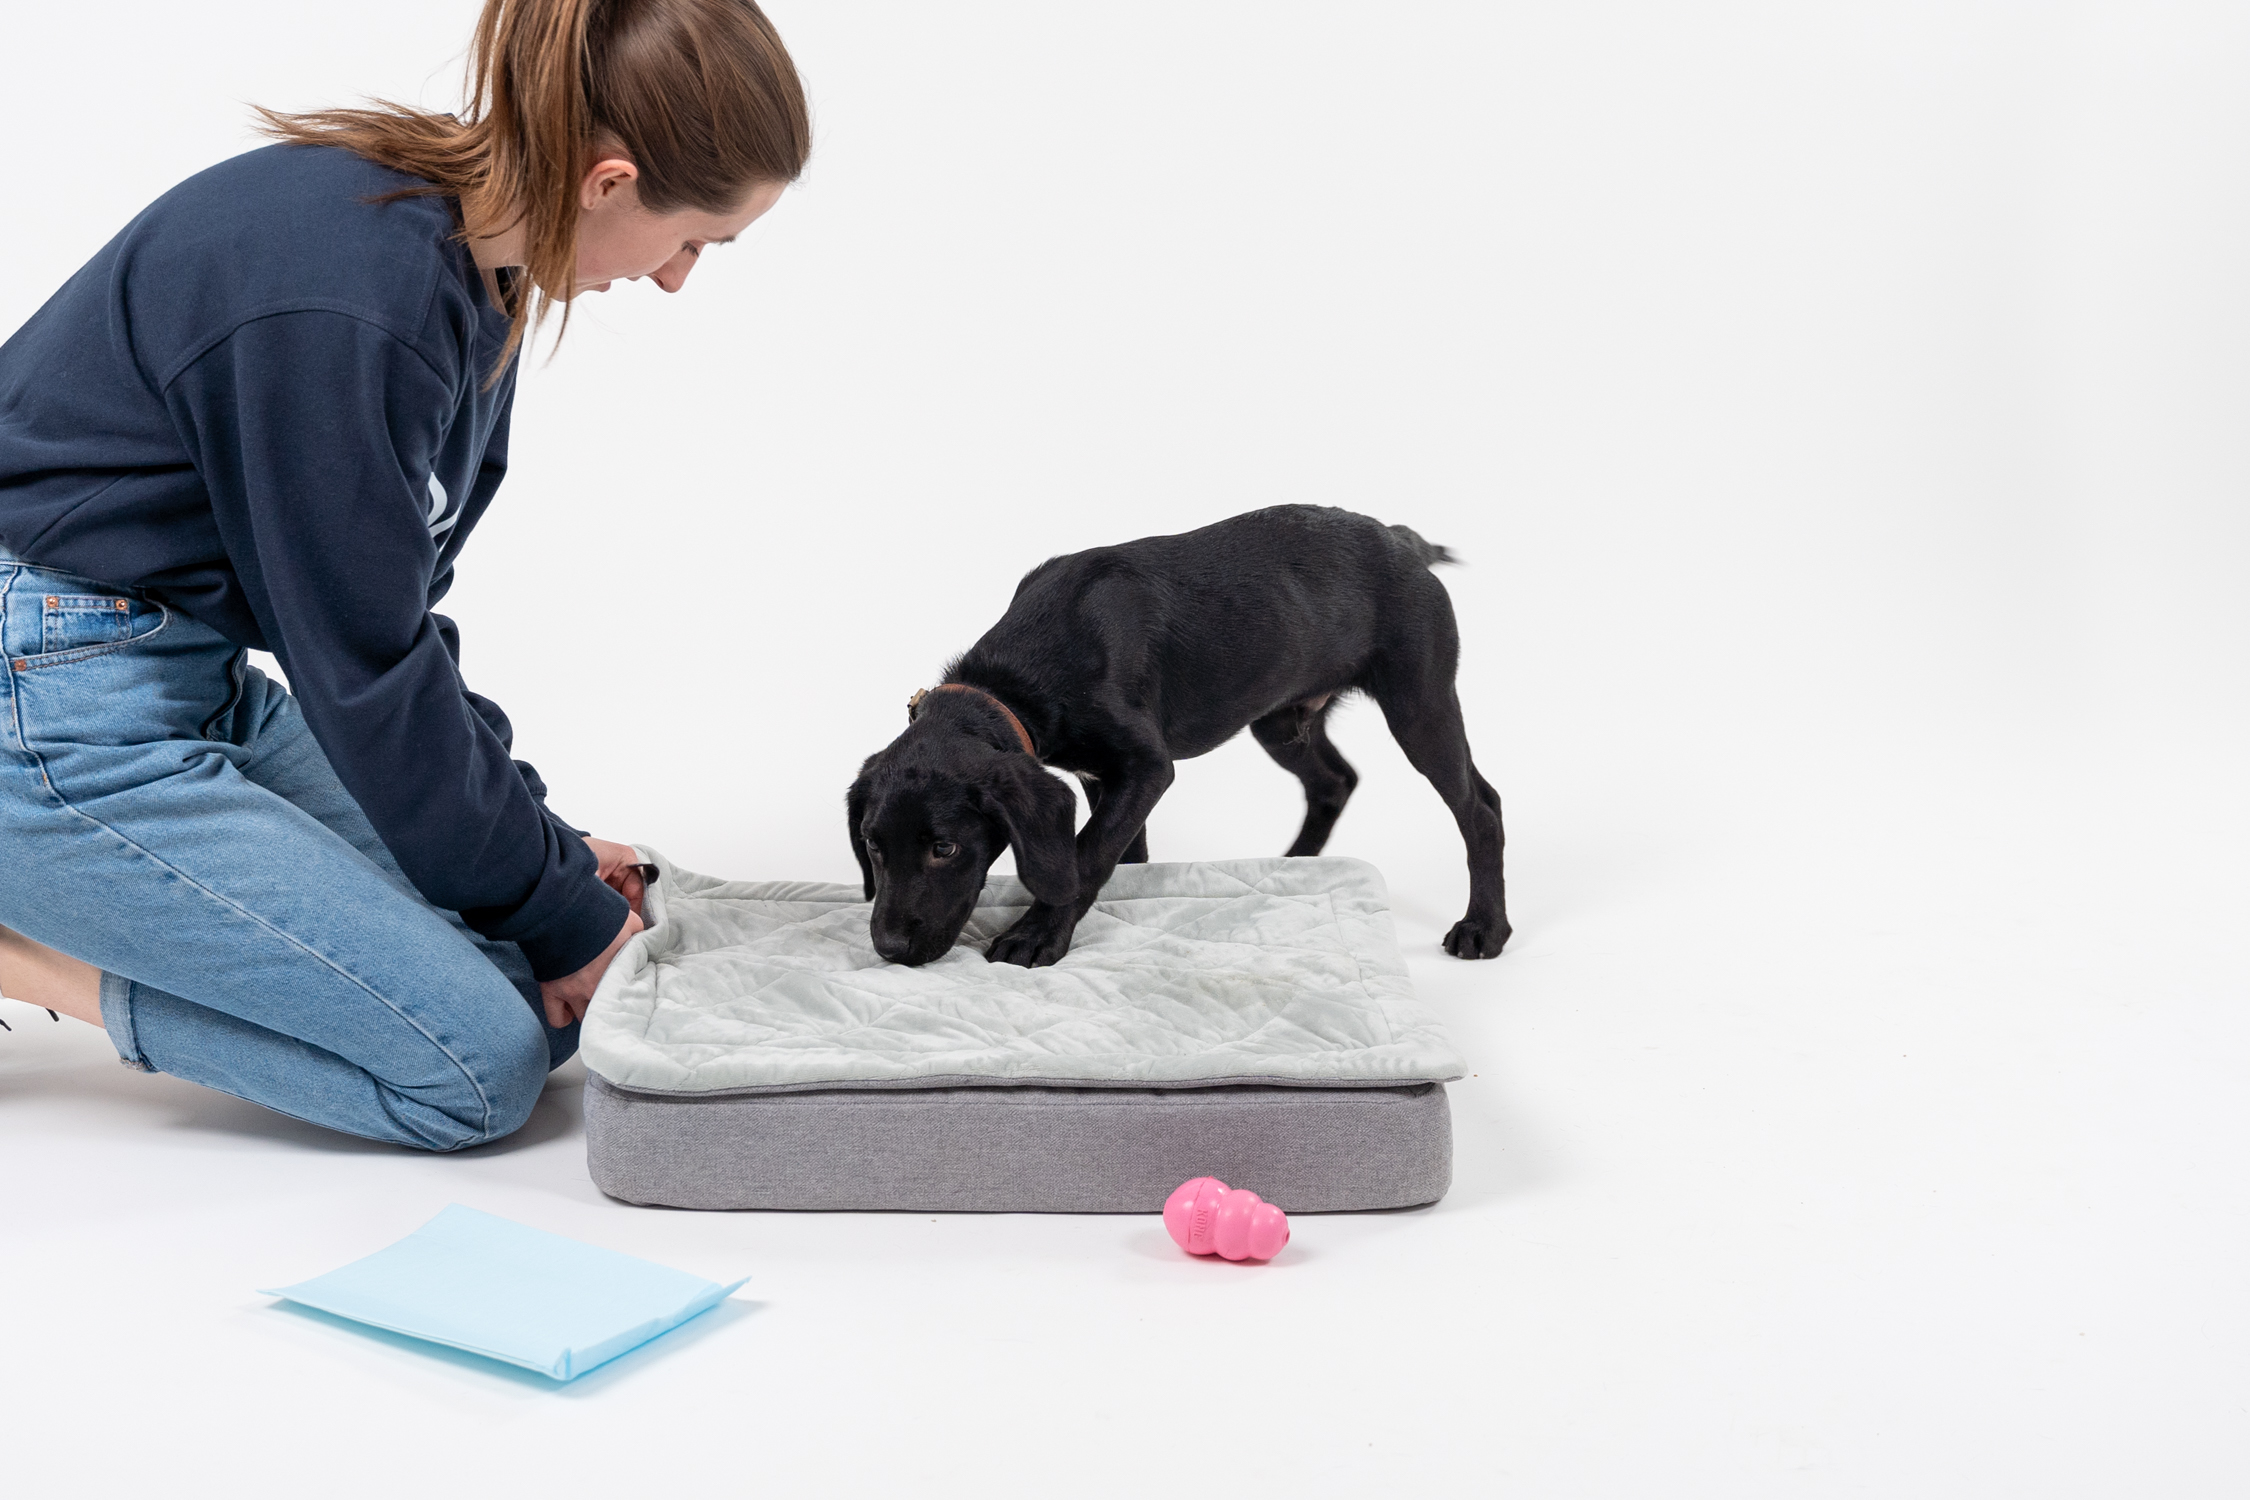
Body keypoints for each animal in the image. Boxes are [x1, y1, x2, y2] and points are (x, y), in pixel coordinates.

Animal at [846, 508, 1512, 976]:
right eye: (872, 845)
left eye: (946, 848)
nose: (889, 947)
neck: (1022, 675)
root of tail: (1402, 539)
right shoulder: (1103, 779)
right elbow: (1121, 855)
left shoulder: (1146, 768)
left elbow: (1088, 855)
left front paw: (1036, 936)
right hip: (1279, 720)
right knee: (1336, 781)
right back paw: (1295, 867)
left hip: (1419, 706)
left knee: (1480, 807)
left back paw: (1484, 928)